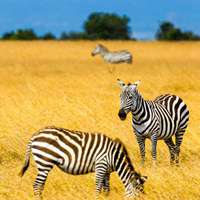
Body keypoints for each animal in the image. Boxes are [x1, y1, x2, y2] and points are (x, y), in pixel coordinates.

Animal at [19, 126, 147, 199]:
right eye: (138, 197)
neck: (115, 157)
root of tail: (35, 135)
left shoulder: (107, 171)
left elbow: (106, 189)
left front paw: (106, 197)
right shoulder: (101, 165)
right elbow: (98, 187)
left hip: (43, 164)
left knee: (40, 185)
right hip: (45, 162)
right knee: (37, 185)